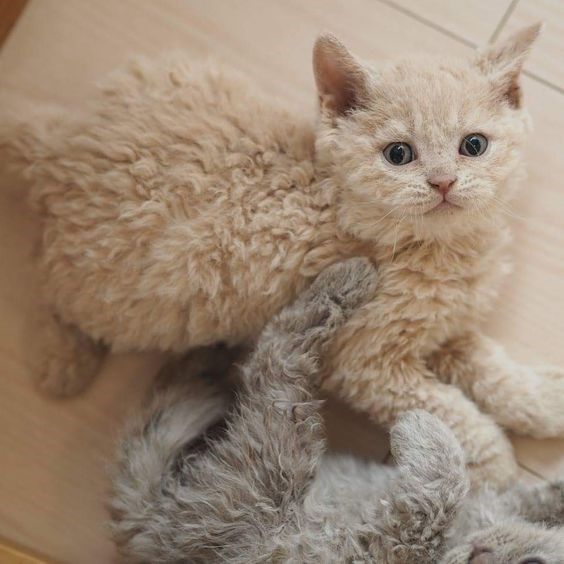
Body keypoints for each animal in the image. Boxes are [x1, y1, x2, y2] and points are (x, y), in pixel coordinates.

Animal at [2, 24, 560, 486]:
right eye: (399, 154)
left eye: (473, 145)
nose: (443, 182)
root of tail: (64, 145)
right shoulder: (366, 360)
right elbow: (449, 410)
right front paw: (495, 460)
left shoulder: (445, 326)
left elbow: (489, 368)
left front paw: (541, 400)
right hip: (126, 293)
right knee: (45, 274)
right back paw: (62, 359)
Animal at [109, 258, 564, 564]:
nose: (478, 554)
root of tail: (154, 525)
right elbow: (532, 492)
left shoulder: (396, 540)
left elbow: (442, 490)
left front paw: (422, 428)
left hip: (276, 461)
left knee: (274, 359)